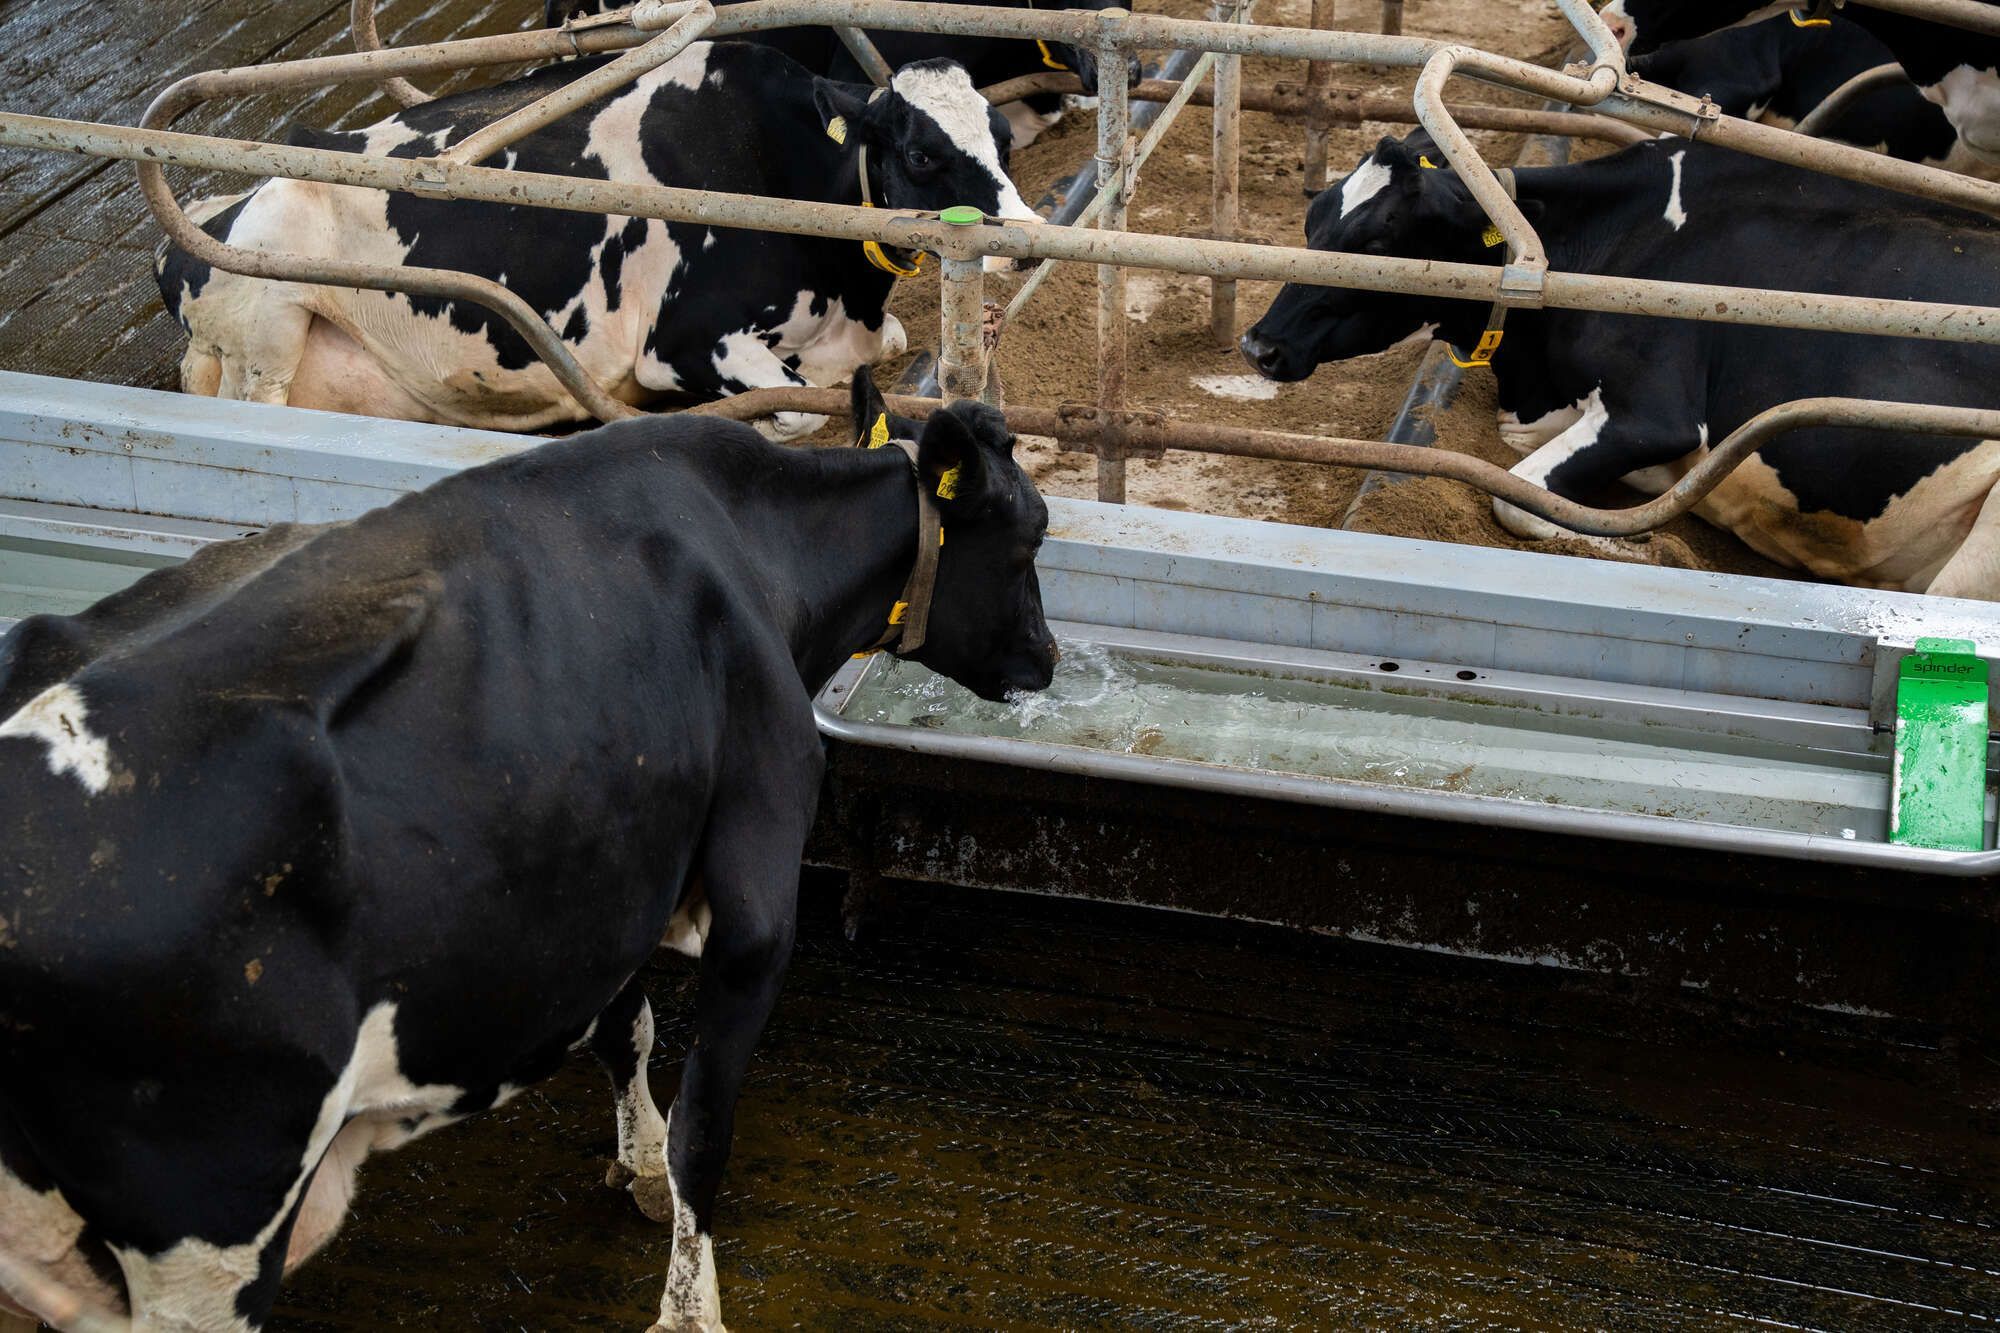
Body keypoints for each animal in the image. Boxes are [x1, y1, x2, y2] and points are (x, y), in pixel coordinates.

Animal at [0, 368, 1058, 1331]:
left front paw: (636, 1160)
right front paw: (688, 1307)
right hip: (214, 1223)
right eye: (1033, 537)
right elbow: (704, 1134)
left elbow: (626, 1030)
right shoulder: (757, 893)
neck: (755, 550)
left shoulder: (606, 868)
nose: (1047, 658)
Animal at [157, 44, 1039, 440]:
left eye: (1001, 134)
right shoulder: (687, 340)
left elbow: (882, 347)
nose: (1031, 238)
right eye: (921, 154)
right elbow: (788, 412)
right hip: (267, 328)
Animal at [1237, 132, 2000, 598]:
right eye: (1313, 219)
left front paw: (1659, 547)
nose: (1259, 345)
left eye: (1378, 241)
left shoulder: (1655, 415)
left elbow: (1522, 504)